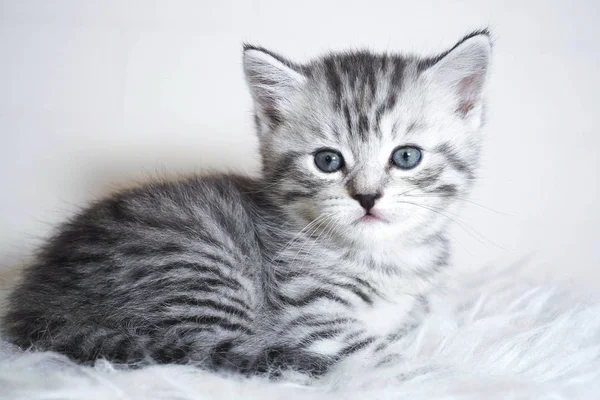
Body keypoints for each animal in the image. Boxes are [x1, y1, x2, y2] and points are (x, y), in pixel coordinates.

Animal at [2, 31, 492, 378]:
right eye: (327, 161)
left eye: (406, 156)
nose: (367, 196)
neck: (386, 257)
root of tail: (36, 306)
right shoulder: (307, 318)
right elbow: (386, 358)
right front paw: (450, 375)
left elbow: (420, 320)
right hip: (202, 267)